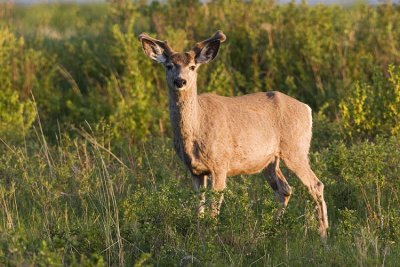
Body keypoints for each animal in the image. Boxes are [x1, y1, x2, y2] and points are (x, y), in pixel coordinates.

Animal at [139, 30, 330, 239]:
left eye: (192, 67)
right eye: (169, 65)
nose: (180, 81)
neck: (196, 129)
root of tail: (307, 109)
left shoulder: (220, 163)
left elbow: (214, 207)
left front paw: (211, 236)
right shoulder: (194, 170)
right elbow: (199, 206)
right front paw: (199, 233)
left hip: (296, 149)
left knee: (316, 184)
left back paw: (323, 234)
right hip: (270, 161)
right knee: (285, 189)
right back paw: (273, 229)